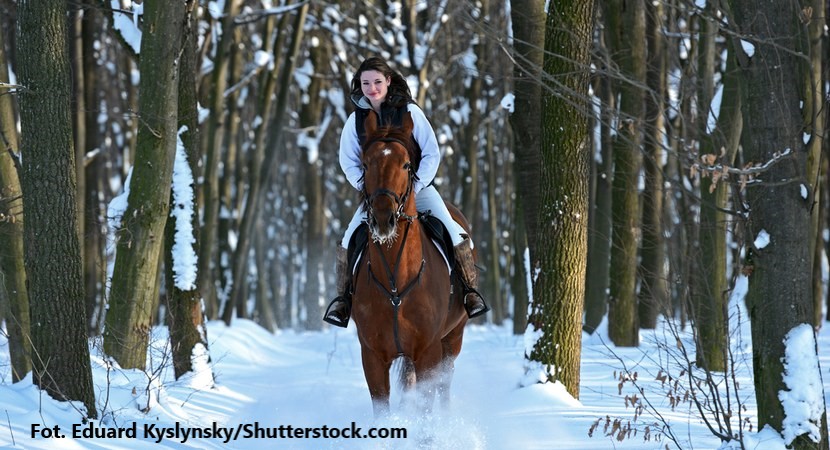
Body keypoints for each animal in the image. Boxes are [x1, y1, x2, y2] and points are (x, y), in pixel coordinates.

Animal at [352, 110, 472, 416]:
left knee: (444, 384)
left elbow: (427, 405)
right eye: (366, 164)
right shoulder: (372, 355)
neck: (397, 281)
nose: (383, 218)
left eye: (406, 164)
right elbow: (382, 406)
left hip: (453, 337)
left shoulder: (428, 352)